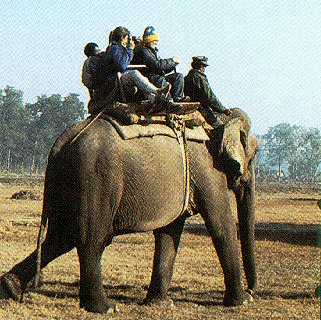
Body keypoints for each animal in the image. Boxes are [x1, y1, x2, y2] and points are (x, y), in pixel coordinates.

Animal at [0, 107, 255, 312]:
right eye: (252, 159)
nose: (253, 291)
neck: (215, 122)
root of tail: (62, 141)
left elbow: (169, 231)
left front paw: (161, 303)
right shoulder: (207, 168)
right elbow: (220, 224)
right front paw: (241, 301)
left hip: (68, 180)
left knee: (60, 237)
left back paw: (11, 287)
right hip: (96, 177)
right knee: (92, 240)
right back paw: (105, 308)